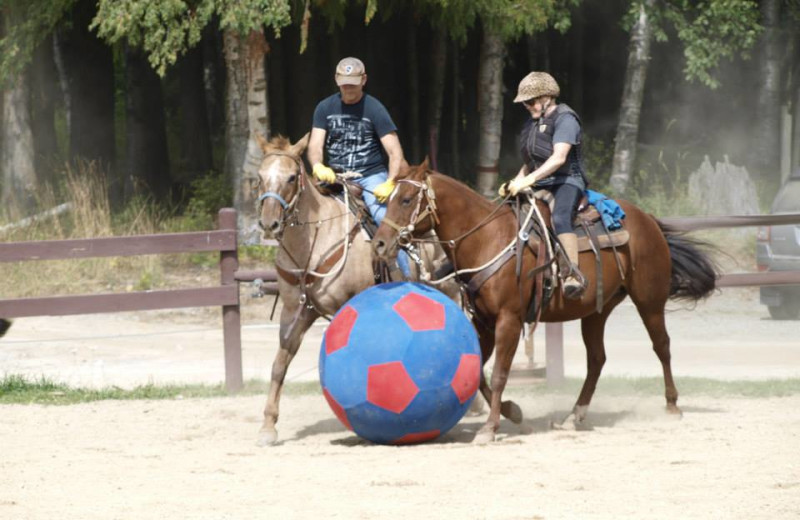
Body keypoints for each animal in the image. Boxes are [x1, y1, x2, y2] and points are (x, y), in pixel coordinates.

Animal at [253, 133, 454, 442]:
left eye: (291, 177)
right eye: (260, 177)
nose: (269, 223)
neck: (314, 242)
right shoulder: (295, 312)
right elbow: (279, 365)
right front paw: (268, 425)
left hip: (452, 287)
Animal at [372, 161, 716, 442]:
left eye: (406, 200)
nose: (379, 244)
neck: (488, 238)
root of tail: (648, 221)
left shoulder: (509, 320)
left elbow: (499, 373)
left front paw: (490, 428)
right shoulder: (484, 322)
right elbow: (477, 372)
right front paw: (513, 412)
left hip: (649, 300)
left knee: (662, 346)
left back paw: (672, 406)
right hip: (597, 311)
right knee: (597, 359)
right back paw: (574, 416)